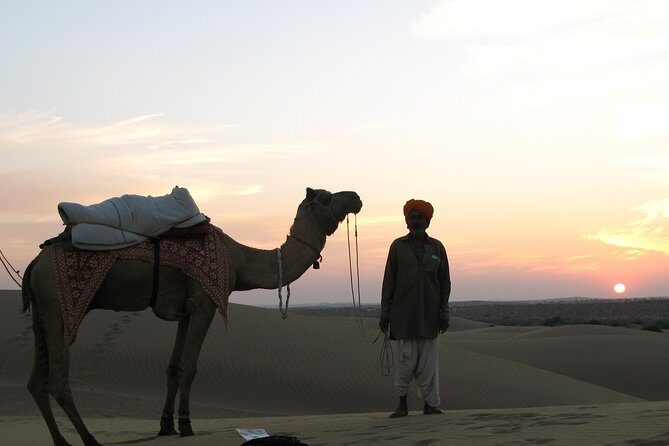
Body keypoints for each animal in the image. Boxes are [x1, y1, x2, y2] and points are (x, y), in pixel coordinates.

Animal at [21, 187, 362, 446]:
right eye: (326, 197)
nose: (356, 197)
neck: (239, 260)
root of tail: (35, 262)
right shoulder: (204, 302)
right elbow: (189, 367)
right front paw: (186, 425)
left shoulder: (186, 309)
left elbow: (173, 368)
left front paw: (165, 425)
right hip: (60, 305)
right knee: (57, 380)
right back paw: (89, 439)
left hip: (40, 312)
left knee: (36, 382)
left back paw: (61, 441)